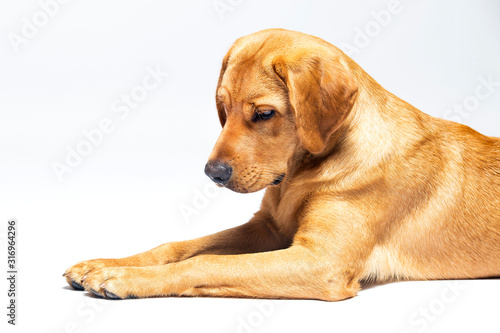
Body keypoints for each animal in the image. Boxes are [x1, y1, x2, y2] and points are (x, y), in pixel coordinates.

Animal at [63, 29, 500, 300]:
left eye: (264, 114)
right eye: (222, 108)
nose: (213, 174)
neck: (301, 176)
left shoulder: (321, 262)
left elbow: (204, 263)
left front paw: (125, 277)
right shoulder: (267, 229)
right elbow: (179, 246)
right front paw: (107, 263)